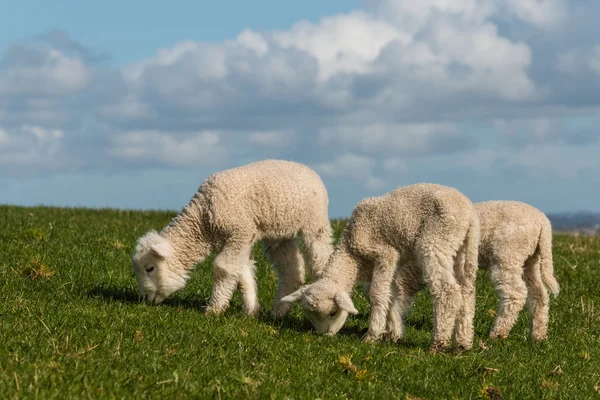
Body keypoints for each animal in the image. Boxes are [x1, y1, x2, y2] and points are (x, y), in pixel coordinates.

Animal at [131, 158, 332, 318]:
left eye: (150, 268)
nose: (146, 299)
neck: (203, 219)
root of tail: (307, 168)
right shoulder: (235, 239)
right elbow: (241, 272)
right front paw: (251, 311)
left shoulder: (239, 232)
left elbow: (224, 268)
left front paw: (214, 309)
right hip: (280, 233)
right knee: (292, 271)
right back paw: (278, 312)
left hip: (315, 221)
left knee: (321, 257)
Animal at [278, 183, 480, 352]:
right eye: (310, 315)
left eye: (333, 313)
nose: (323, 336)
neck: (352, 255)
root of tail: (469, 213)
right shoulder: (394, 263)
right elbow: (391, 294)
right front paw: (394, 333)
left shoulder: (385, 254)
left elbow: (376, 293)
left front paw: (373, 335)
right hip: (463, 250)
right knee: (467, 291)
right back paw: (462, 343)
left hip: (436, 240)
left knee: (447, 291)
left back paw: (438, 343)